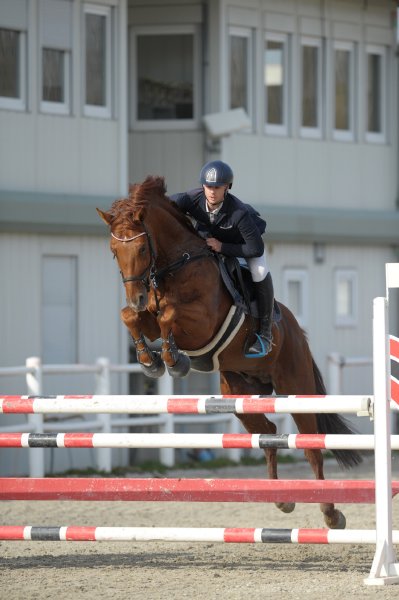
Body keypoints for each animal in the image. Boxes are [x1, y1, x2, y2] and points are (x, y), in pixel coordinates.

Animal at [97, 175, 362, 528]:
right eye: (114, 251)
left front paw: (174, 360)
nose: (137, 297)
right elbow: (131, 318)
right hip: (238, 392)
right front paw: (148, 360)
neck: (178, 263)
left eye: (141, 248)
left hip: (296, 385)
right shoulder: (148, 318)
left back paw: (331, 514)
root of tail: (298, 333)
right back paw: (282, 500)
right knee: (268, 434)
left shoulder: (201, 323)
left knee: (311, 447)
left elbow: (169, 316)